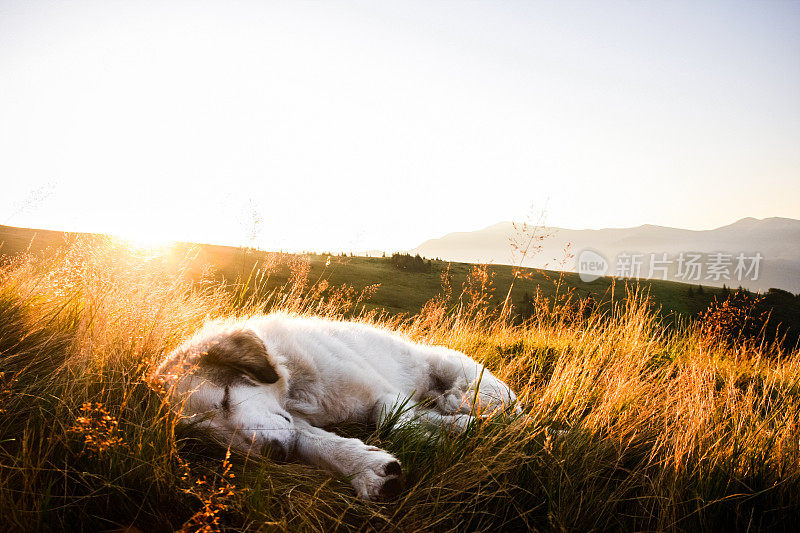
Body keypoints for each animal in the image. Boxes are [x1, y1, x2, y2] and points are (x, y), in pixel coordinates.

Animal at [155, 312, 520, 498]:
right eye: (213, 442)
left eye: (226, 397)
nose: (275, 455)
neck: (296, 387)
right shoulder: (292, 422)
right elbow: (314, 442)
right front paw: (365, 466)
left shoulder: (384, 393)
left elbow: (389, 419)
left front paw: (449, 430)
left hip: (457, 371)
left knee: (492, 402)